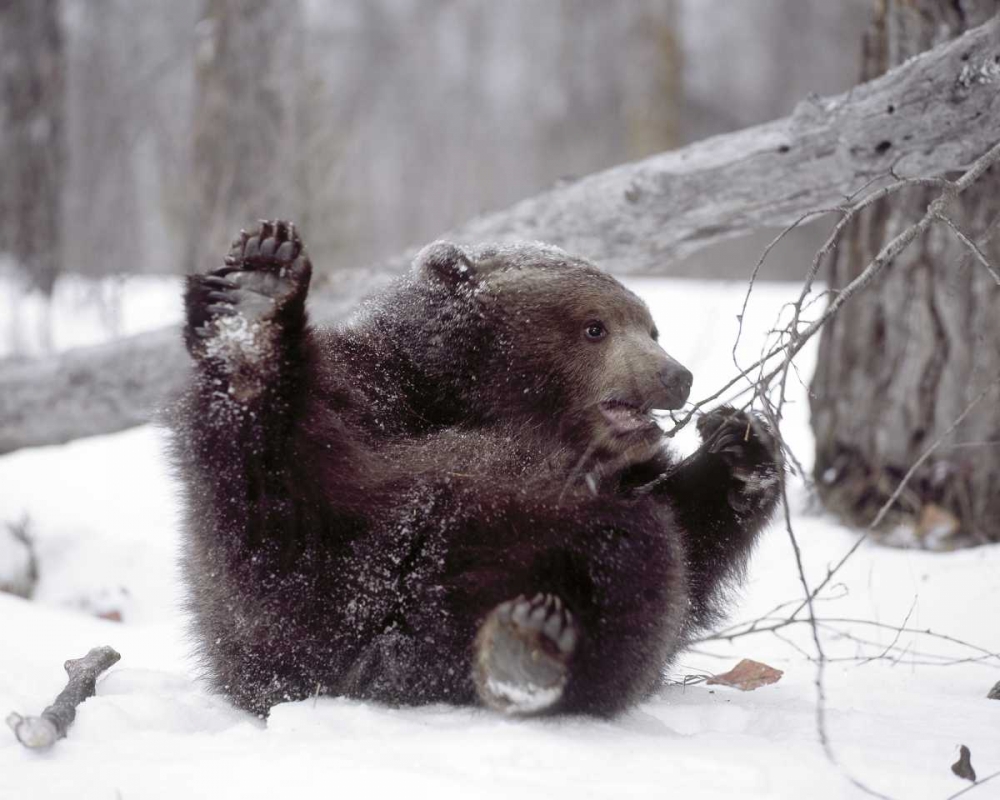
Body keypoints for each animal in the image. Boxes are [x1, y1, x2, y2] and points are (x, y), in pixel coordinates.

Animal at [169, 219, 781, 718]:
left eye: (651, 328)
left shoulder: (622, 473)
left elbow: (689, 537)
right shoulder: (366, 399)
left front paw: (741, 450)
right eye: (594, 327)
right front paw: (256, 294)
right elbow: (272, 525)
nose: (677, 376)